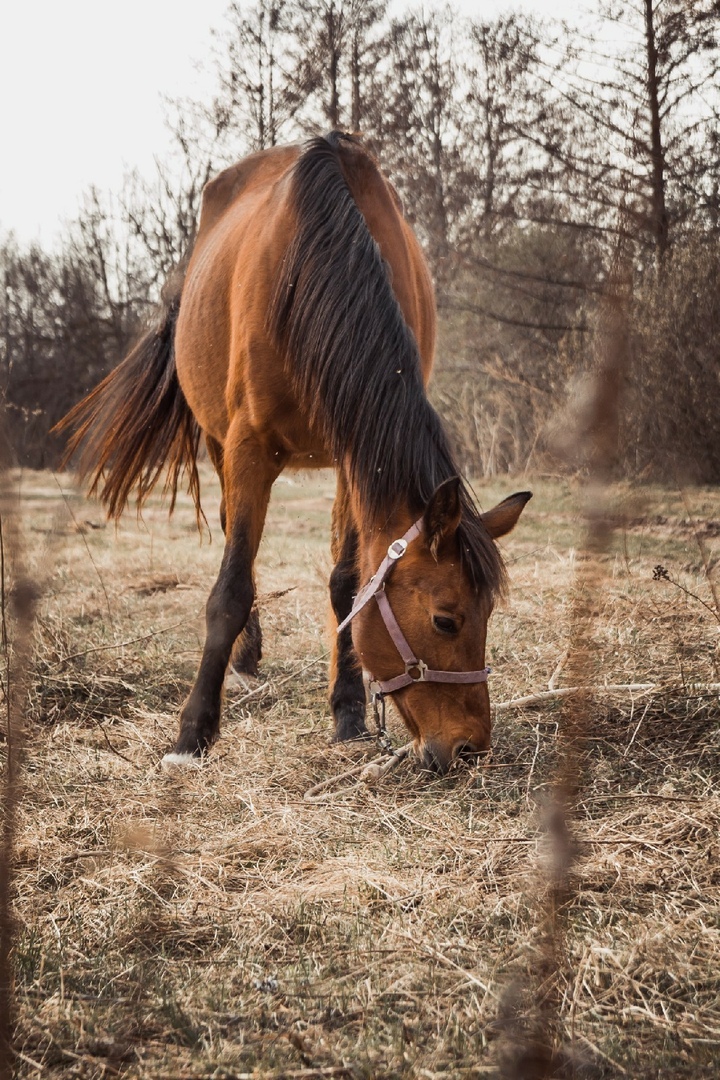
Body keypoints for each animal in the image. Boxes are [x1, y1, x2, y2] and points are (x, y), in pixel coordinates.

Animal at [59, 132, 533, 777]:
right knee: (233, 538)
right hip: (218, 442)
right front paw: (192, 733)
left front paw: (348, 713)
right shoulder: (248, 446)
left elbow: (347, 583)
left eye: (488, 617)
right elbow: (230, 588)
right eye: (446, 618)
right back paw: (244, 656)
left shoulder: (355, 455)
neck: (311, 271)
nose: (469, 748)